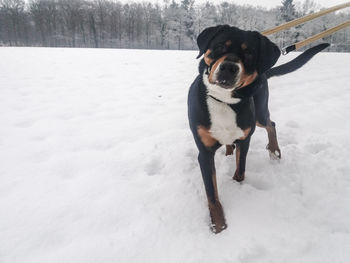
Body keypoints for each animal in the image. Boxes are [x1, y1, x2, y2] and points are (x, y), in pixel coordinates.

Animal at [189, 24, 328, 234]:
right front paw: (218, 224)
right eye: (220, 46)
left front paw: (236, 186)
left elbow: (240, 171)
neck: (224, 100)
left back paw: (274, 150)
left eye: (249, 54)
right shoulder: (204, 152)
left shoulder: (245, 138)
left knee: (271, 124)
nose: (229, 67)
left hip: (260, 112)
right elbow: (211, 192)